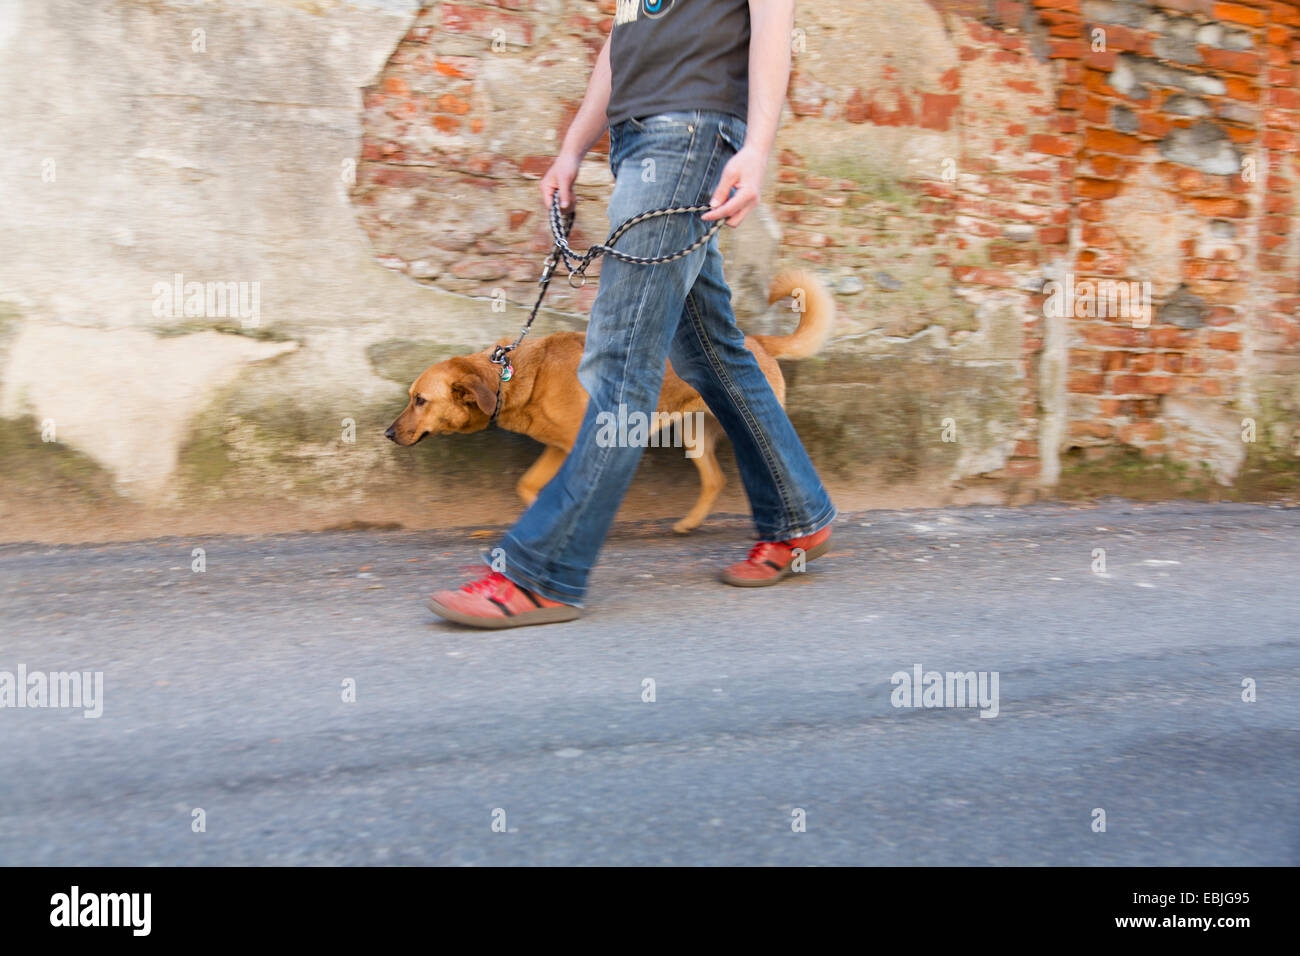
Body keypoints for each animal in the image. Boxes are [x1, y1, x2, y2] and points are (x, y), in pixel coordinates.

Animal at [384, 269, 832, 535]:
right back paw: (689, 524)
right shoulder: (557, 448)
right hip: (696, 437)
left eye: (420, 400)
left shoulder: (578, 446)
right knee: (715, 480)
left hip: (746, 424)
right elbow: (527, 485)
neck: (514, 375)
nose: (387, 433)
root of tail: (755, 341)